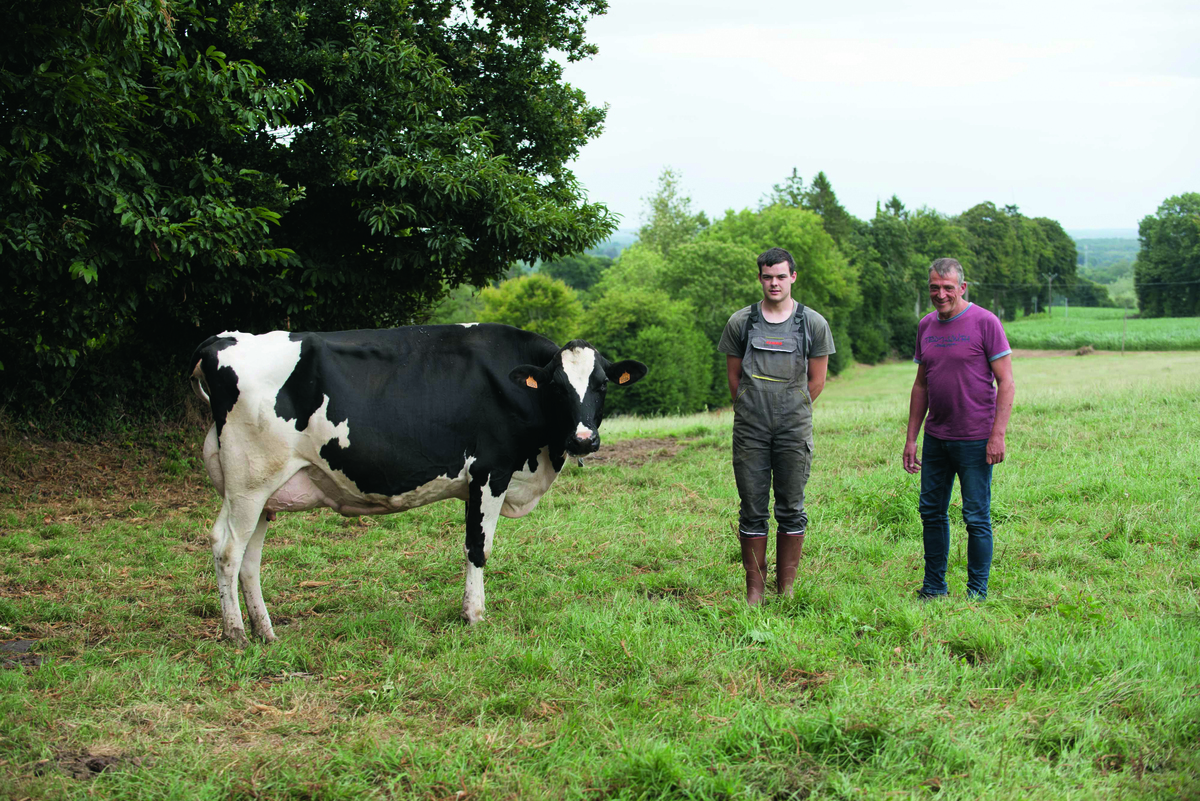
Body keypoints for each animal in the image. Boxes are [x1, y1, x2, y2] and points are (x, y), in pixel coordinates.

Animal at [189, 323, 648, 642]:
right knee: (227, 548)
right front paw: (474, 616)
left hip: (265, 491)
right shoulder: (490, 471)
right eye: (555, 386)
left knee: (249, 559)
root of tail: (221, 341)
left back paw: (265, 631)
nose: (583, 439)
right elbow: (478, 548)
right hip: (249, 482)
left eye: (602, 384)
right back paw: (236, 634)